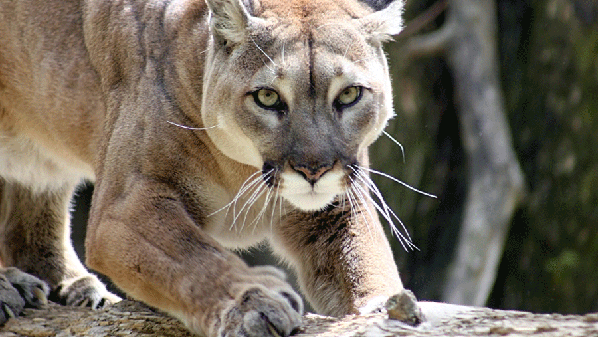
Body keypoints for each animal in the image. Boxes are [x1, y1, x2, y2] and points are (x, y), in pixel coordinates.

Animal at [0, 0, 422, 334]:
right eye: (267, 97)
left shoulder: (337, 207)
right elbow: (193, 257)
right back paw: (12, 289)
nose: (314, 169)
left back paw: (69, 286)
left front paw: (388, 309)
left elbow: (364, 261)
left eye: (349, 94)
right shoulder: (127, 206)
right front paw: (253, 304)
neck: (242, 168)